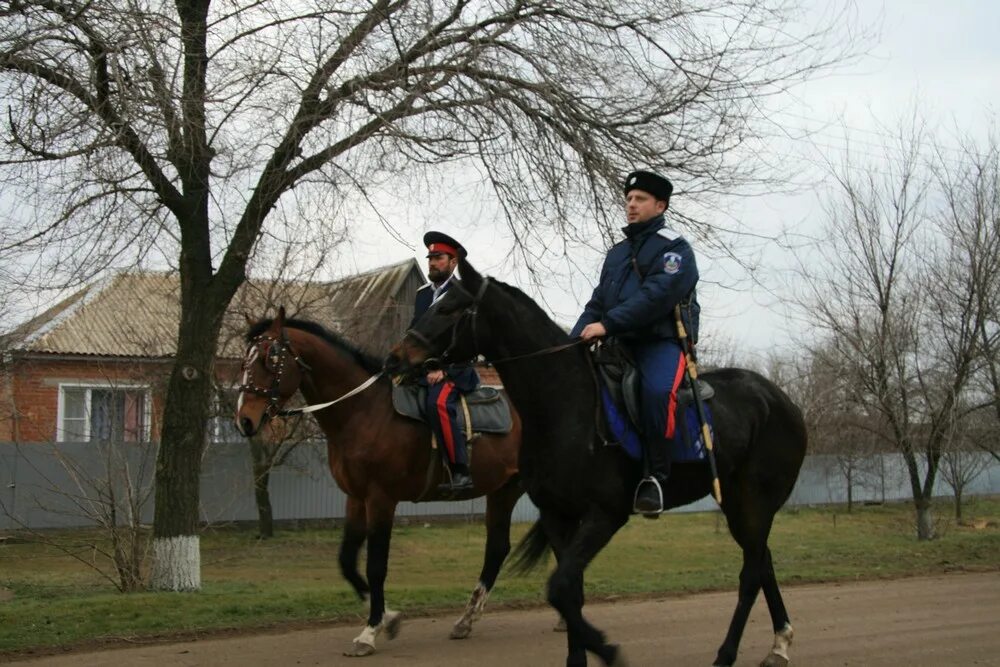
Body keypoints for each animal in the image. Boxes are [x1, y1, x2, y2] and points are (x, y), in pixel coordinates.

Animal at [235, 310, 524, 656]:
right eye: (245, 360)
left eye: (271, 357)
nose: (244, 420)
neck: (364, 412)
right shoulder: (356, 498)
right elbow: (347, 561)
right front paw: (389, 617)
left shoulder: (381, 499)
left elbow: (375, 566)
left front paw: (369, 632)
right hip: (504, 491)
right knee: (498, 548)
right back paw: (466, 621)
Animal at [386, 262, 808, 667]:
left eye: (448, 308)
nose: (395, 358)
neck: (564, 405)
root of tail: (782, 401)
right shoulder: (559, 516)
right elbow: (570, 592)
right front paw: (578, 657)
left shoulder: (604, 515)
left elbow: (559, 588)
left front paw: (607, 650)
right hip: (737, 503)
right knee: (763, 561)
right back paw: (780, 644)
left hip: (754, 501)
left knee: (751, 572)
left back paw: (727, 654)